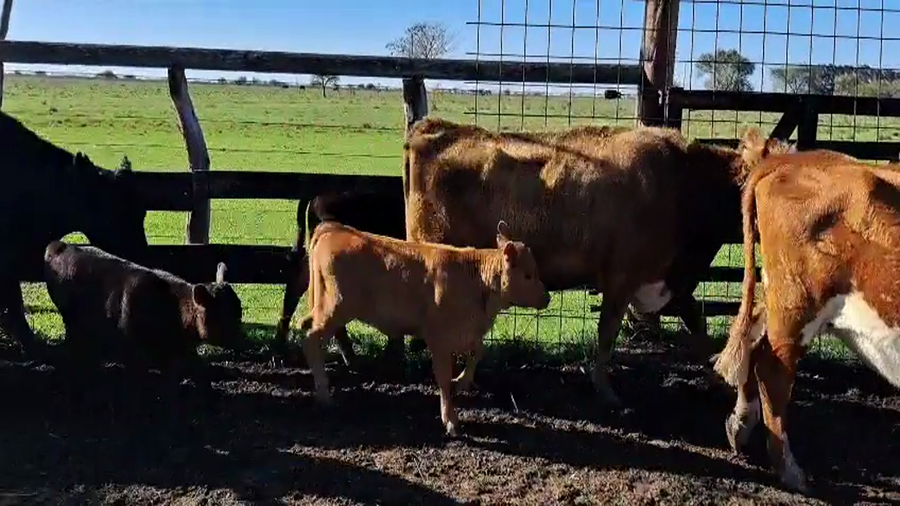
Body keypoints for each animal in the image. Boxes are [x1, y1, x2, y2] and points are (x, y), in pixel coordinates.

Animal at [44, 241, 245, 408]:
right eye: (221, 314)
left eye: (240, 311)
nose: (240, 340)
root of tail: (60, 245)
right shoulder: (133, 348)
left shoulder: (181, 349)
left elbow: (196, 370)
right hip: (71, 319)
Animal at [297, 220, 551, 436]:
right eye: (528, 275)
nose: (547, 298)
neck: (476, 280)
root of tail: (334, 228)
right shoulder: (439, 338)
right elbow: (444, 378)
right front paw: (450, 420)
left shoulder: (467, 332)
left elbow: (478, 352)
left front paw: (462, 381)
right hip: (335, 308)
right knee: (311, 339)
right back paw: (324, 393)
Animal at [402, 117, 756, 408]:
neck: (681, 182)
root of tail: (432, 128)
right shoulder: (621, 278)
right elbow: (607, 332)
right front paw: (605, 390)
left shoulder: (670, 282)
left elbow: (698, 325)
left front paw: (720, 377)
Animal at [713, 135, 900, 492]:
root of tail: (786, 160)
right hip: (797, 301)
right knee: (771, 368)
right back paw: (791, 472)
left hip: (778, 295)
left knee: (752, 336)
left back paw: (739, 425)